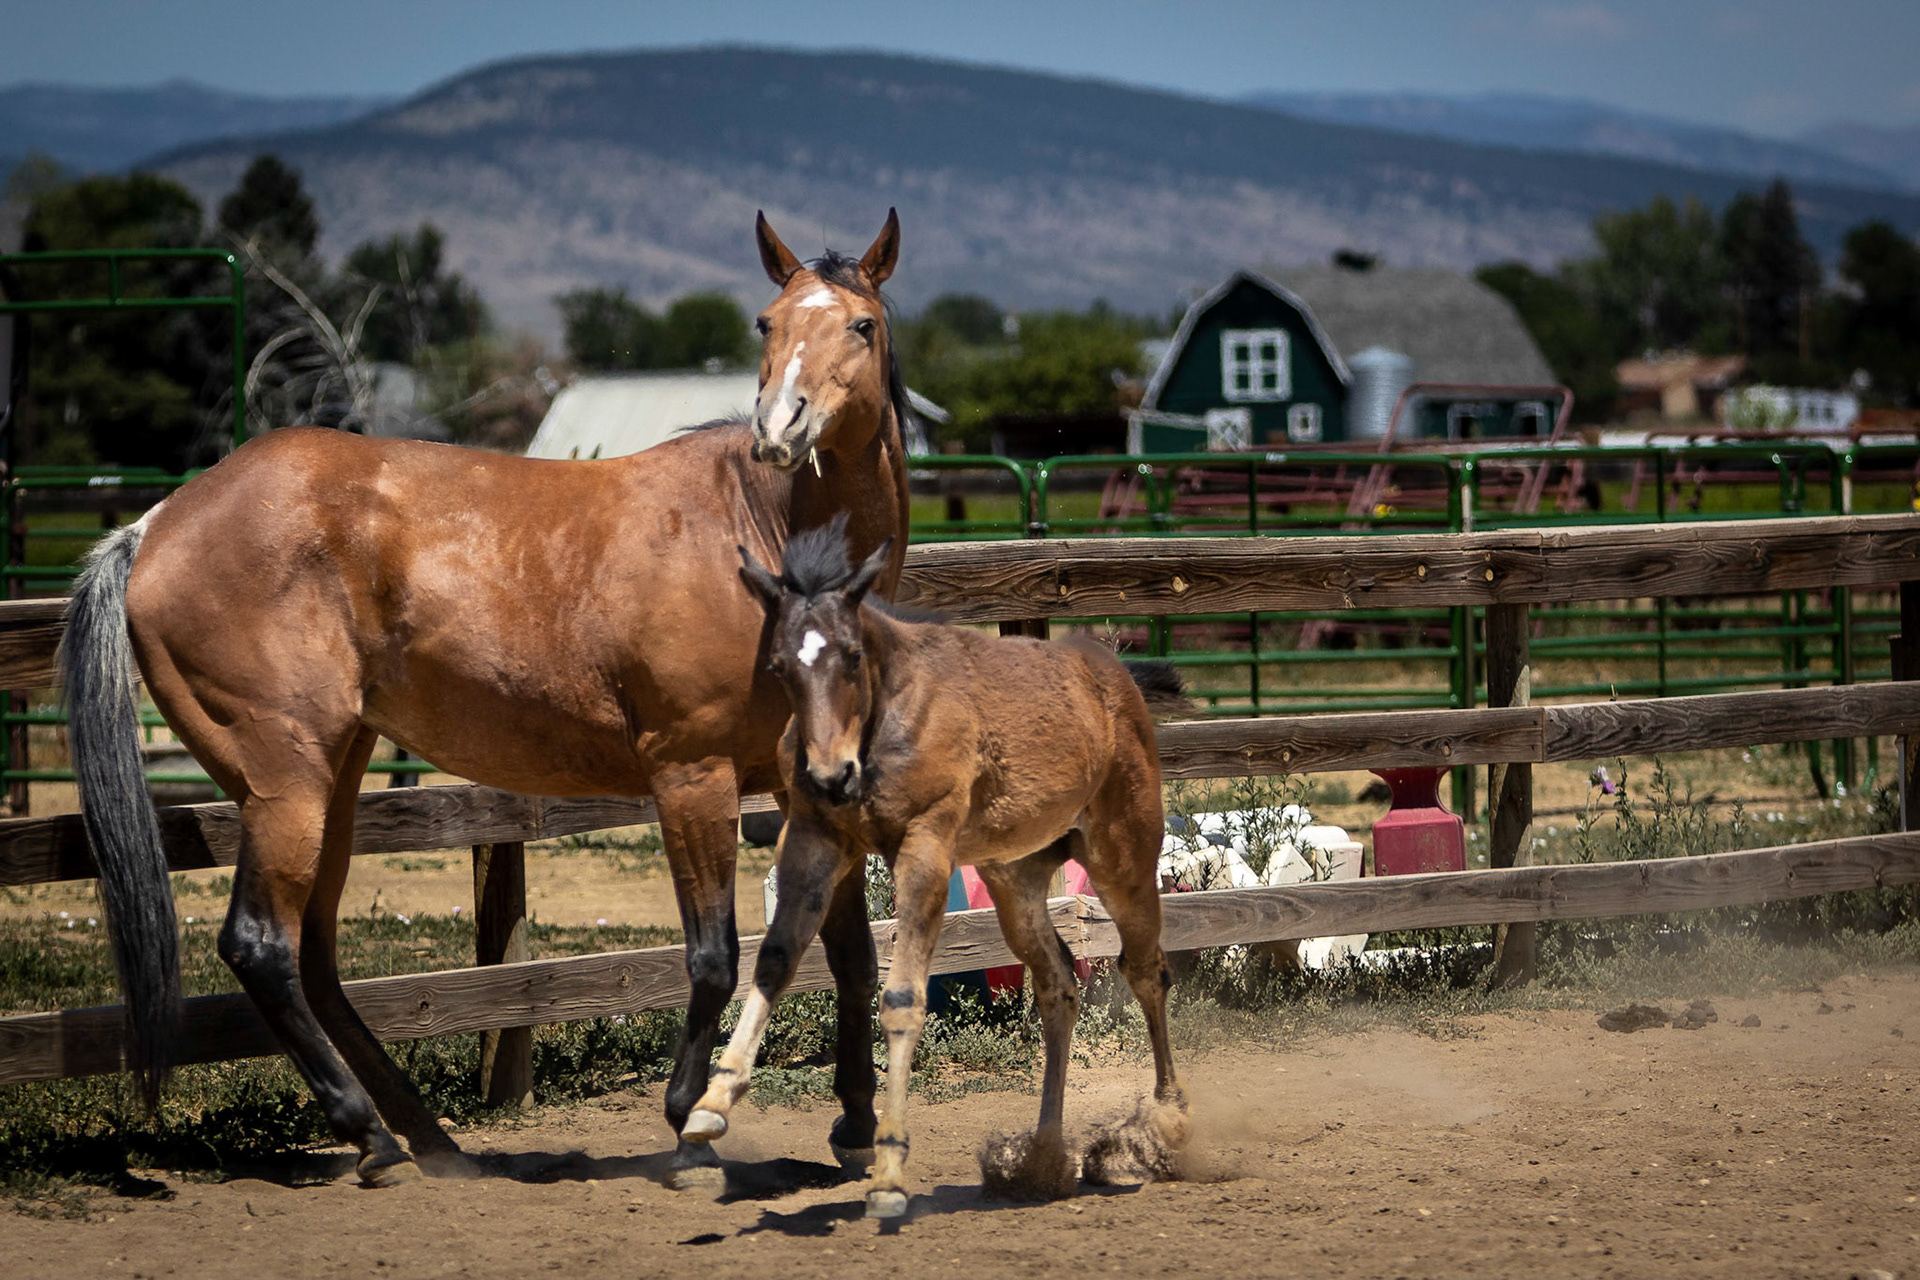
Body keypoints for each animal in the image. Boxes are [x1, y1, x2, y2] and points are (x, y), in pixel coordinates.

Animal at [61, 210, 911, 1189]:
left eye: (861, 325)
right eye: (767, 323)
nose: (781, 425)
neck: (762, 539)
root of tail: (154, 524)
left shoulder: (813, 782)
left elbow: (847, 955)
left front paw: (856, 1127)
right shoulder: (691, 777)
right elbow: (712, 958)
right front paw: (689, 1129)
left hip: (336, 781)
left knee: (314, 958)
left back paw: (425, 1139)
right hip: (286, 786)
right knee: (260, 948)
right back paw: (372, 1137)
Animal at [679, 521, 1191, 1217]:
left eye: (852, 656)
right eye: (779, 666)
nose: (831, 775)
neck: (882, 722)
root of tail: (1115, 676)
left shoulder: (924, 847)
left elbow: (901, 997)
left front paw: (890, 1174)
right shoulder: (815, 837)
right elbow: (776, 959)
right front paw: (710, 1106)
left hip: (1124, 855)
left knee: (1146, 970)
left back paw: (1166, 1124)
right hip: (1014, 878)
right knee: (1057, 984)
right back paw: (1042, 1155)